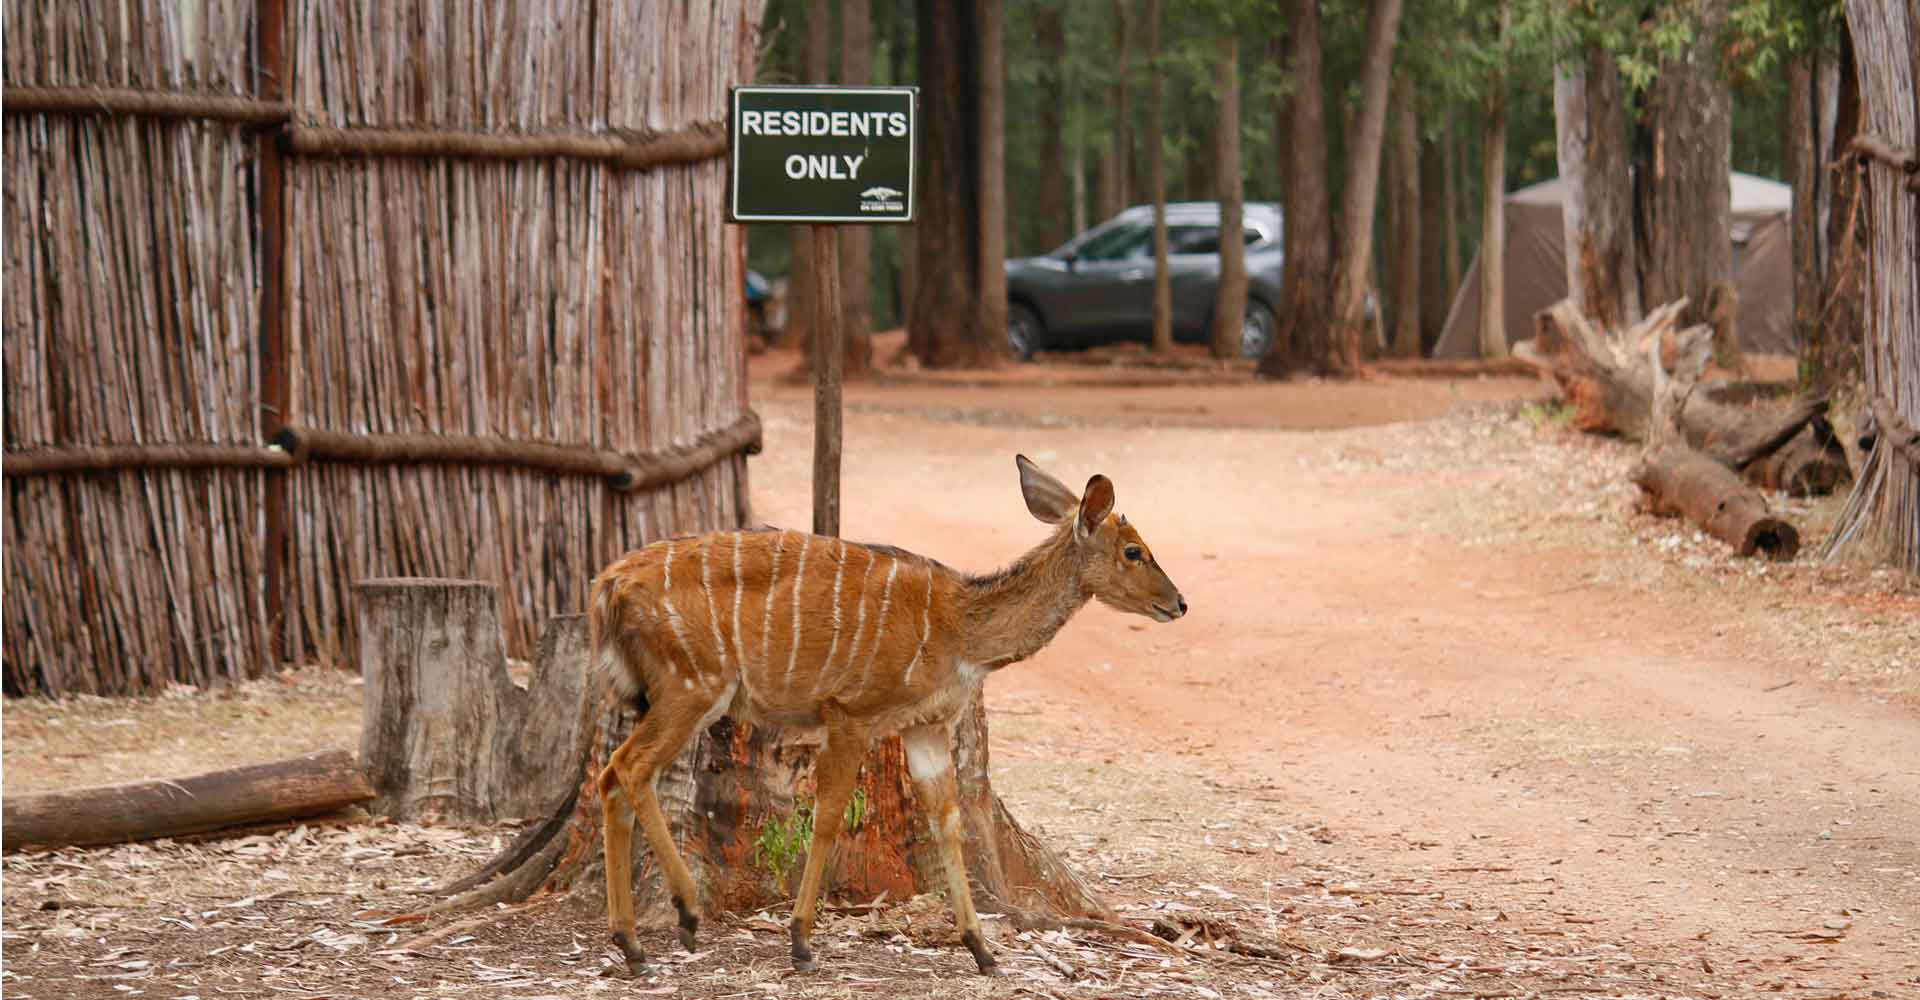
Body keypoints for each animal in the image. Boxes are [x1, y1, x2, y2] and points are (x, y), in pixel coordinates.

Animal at [587, 456, 1182, 971]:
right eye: (1134, 551)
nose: (1178, 603)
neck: (963, 631)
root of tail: (607, 585)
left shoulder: (926, 726)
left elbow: (947, 821)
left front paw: (983, 950)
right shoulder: (851, 712)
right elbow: (828, 815)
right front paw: (801, 942)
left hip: (671, 694)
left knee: (613, 775)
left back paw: (631, 945)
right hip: (692, 685)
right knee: (630, 768)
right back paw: (685, 915)